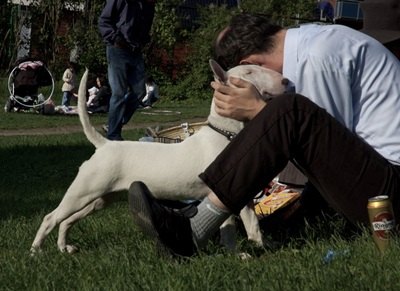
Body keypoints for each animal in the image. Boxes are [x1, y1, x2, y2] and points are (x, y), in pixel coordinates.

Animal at [30, 59, 288, 256]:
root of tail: (104, 145)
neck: (225, 133)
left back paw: (64, 247)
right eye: (249, 72)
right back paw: (36, 251)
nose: (285, 81)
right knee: (51, 217)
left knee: (67, 220)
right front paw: (250, 252)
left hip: (101, 199)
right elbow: (241, 226)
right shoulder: (225, 191)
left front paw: (251, 249)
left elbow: (240, 226)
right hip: (82, 192)